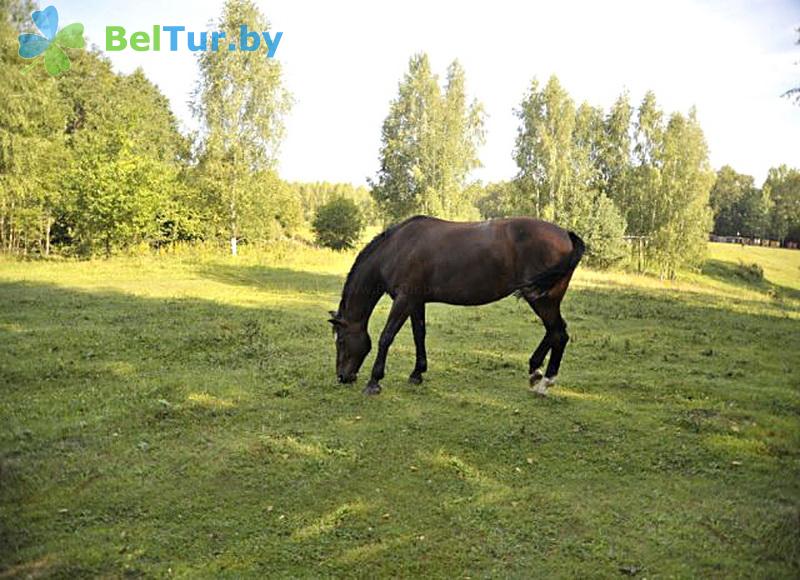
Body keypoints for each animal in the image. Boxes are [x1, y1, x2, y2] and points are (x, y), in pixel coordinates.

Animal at [328, 215, 584, 396]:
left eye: (340, 341)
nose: (342, 377)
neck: (397, 249)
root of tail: (566, 234)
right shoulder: (416, 302)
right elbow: (419, 334)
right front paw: (417, 373)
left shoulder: (404, 300)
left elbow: (386, 336)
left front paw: (374, 381)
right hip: (542, 298)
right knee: (554, 332)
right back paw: (535, 371)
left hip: (543, 299)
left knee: (559, 334)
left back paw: (544, 383)